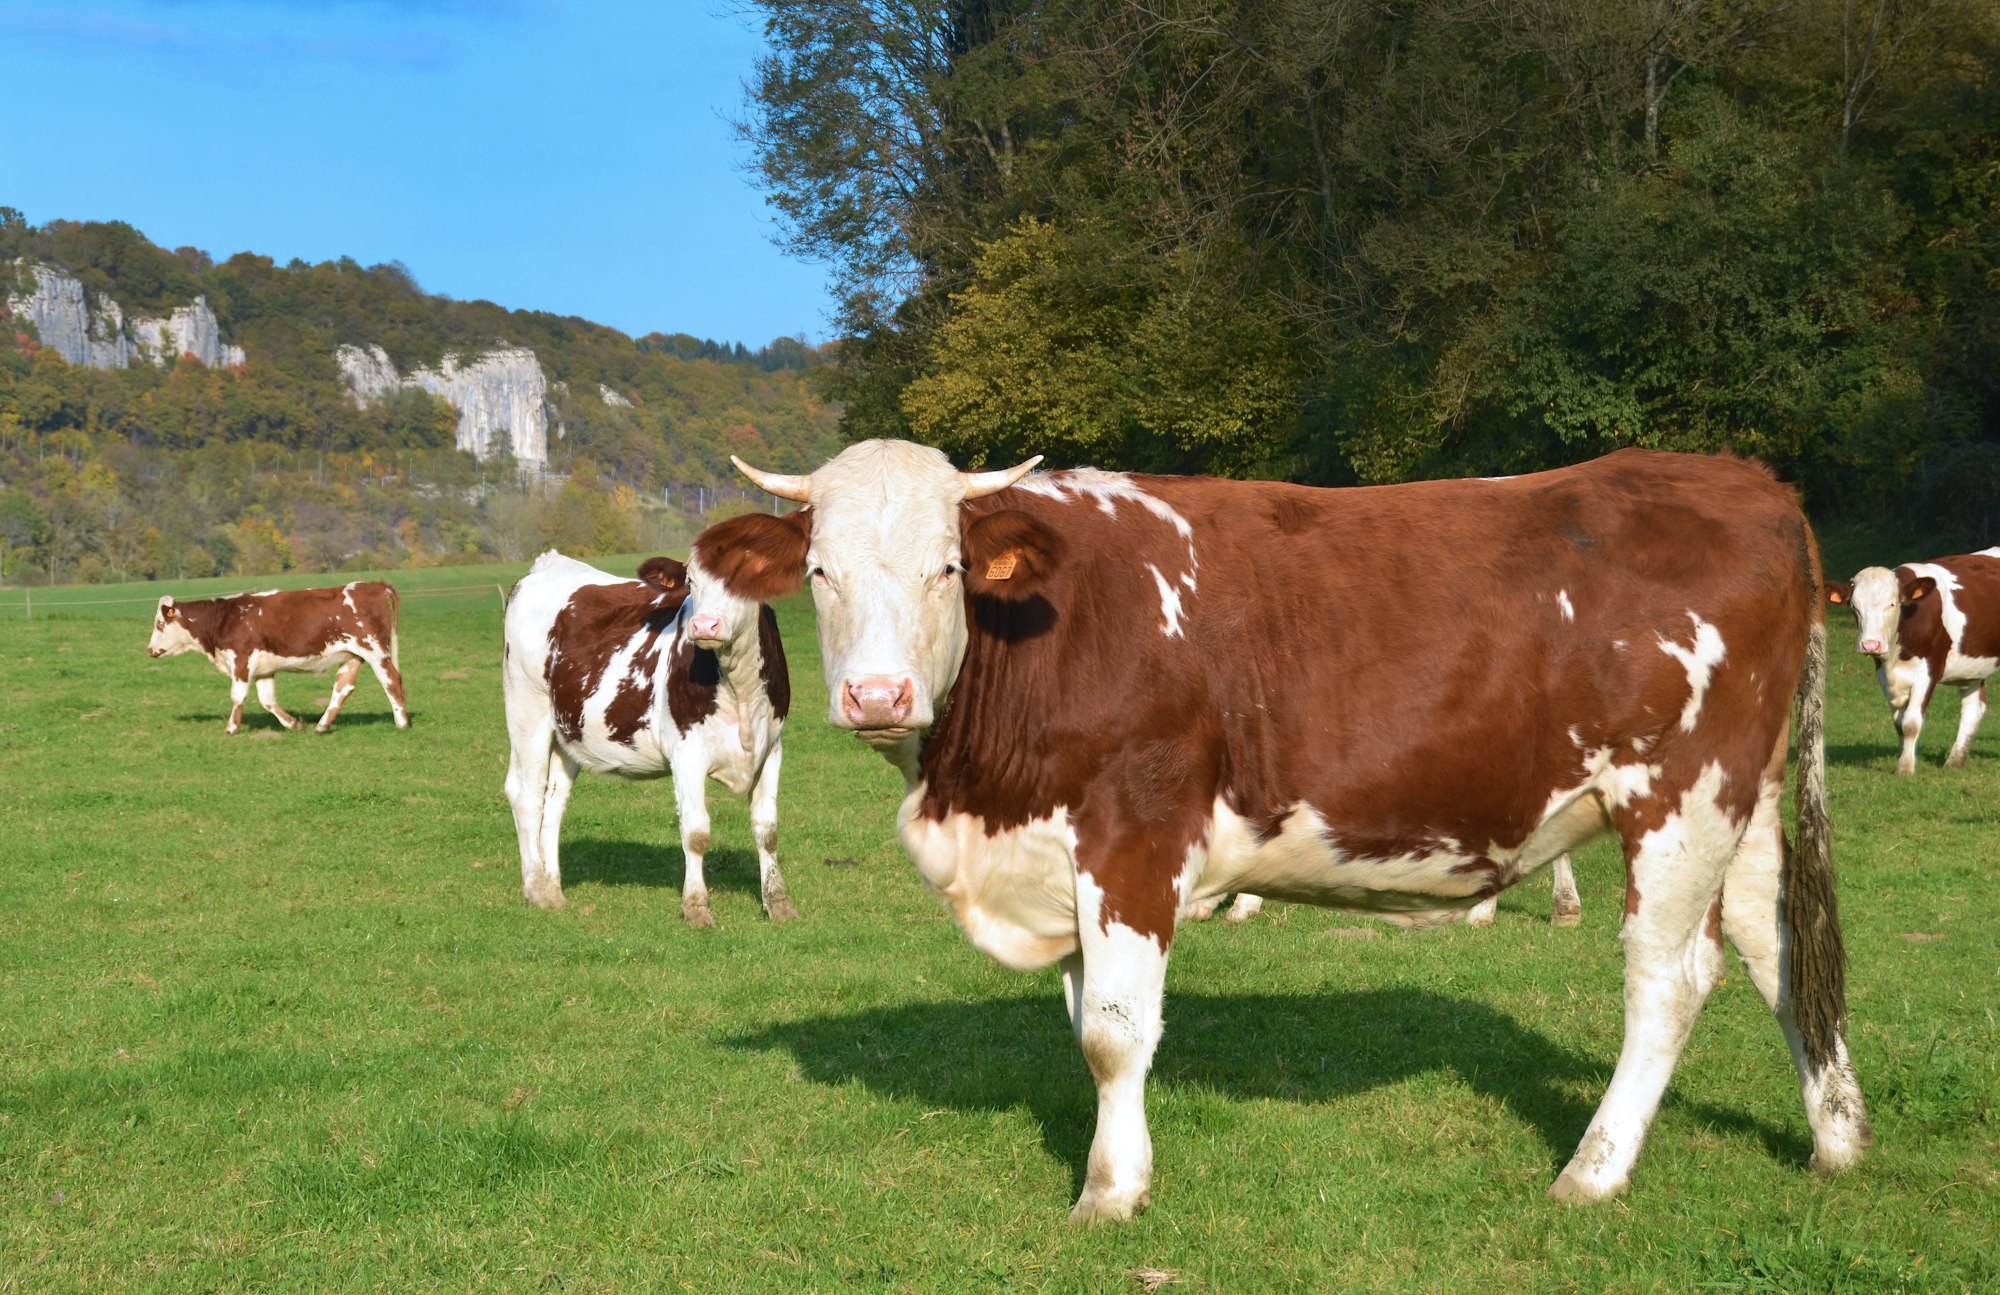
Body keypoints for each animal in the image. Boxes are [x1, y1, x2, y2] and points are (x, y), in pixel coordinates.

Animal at [147, 583, 410, 735]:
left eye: (159, 623)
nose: (150, 649)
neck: (224, 617)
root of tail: (373, 584)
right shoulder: (264, 669)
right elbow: (267, 700)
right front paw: (293, 724)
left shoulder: (241, 659)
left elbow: (238, 696)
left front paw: (231, 728)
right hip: (352, 655)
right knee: (343, 687)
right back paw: (321, 726)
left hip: (374, 650)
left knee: (391, 680)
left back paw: (402, 723)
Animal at [500, 543, 796, 919]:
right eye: (690, 580)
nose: (704, 625)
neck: (739, 686)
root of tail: (549, 564)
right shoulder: (686, 751)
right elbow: (696, 831)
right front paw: (695, 907)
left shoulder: (771, 747)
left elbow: (767, 829)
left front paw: (779, 904)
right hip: (526, 709)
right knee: (527, 794)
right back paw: (536, 888)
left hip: (567, 730)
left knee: (554, 800)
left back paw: (552, 890)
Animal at [712, 439, 1864, 1223]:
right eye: (819, 570)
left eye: (946, 567)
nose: (876, 694)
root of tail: (1746, 482)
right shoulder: (1061, 856)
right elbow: (1086, 1019)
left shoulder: (1133, 830)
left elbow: (1112, 1031)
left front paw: (1109, 1190)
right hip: (1746, 799)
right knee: (1778, 944)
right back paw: (1837, 1136)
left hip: (1681, 793)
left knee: (1668, 978)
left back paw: (1592, 1168)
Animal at [1832, 551, 2000, 775]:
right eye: (1854, 607)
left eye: (1892, 604)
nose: (1870, 645)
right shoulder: (1884, 674)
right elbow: (1898, 723)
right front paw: (1902, 757)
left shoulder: (1929, 670)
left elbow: (1910, 723)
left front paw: (1905, 767)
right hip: (1972, 668)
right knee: (1974, 707)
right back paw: (1954, 760)